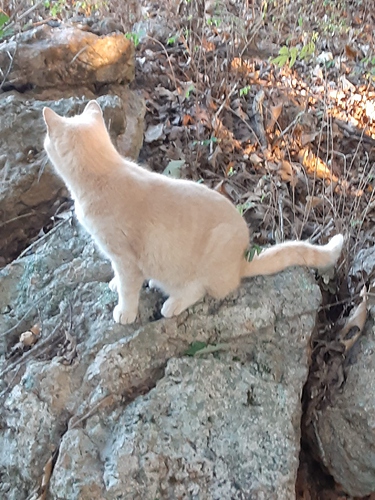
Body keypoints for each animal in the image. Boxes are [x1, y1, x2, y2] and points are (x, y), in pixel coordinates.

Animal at [43, 101, 344, 326]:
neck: (104, 172)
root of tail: (239, 261)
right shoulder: (120, 259)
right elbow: (121, 280)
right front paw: (115, 285)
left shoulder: (125, 258)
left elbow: (129, 289)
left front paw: (125, 311)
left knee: (199, 290)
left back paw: (172, 303)